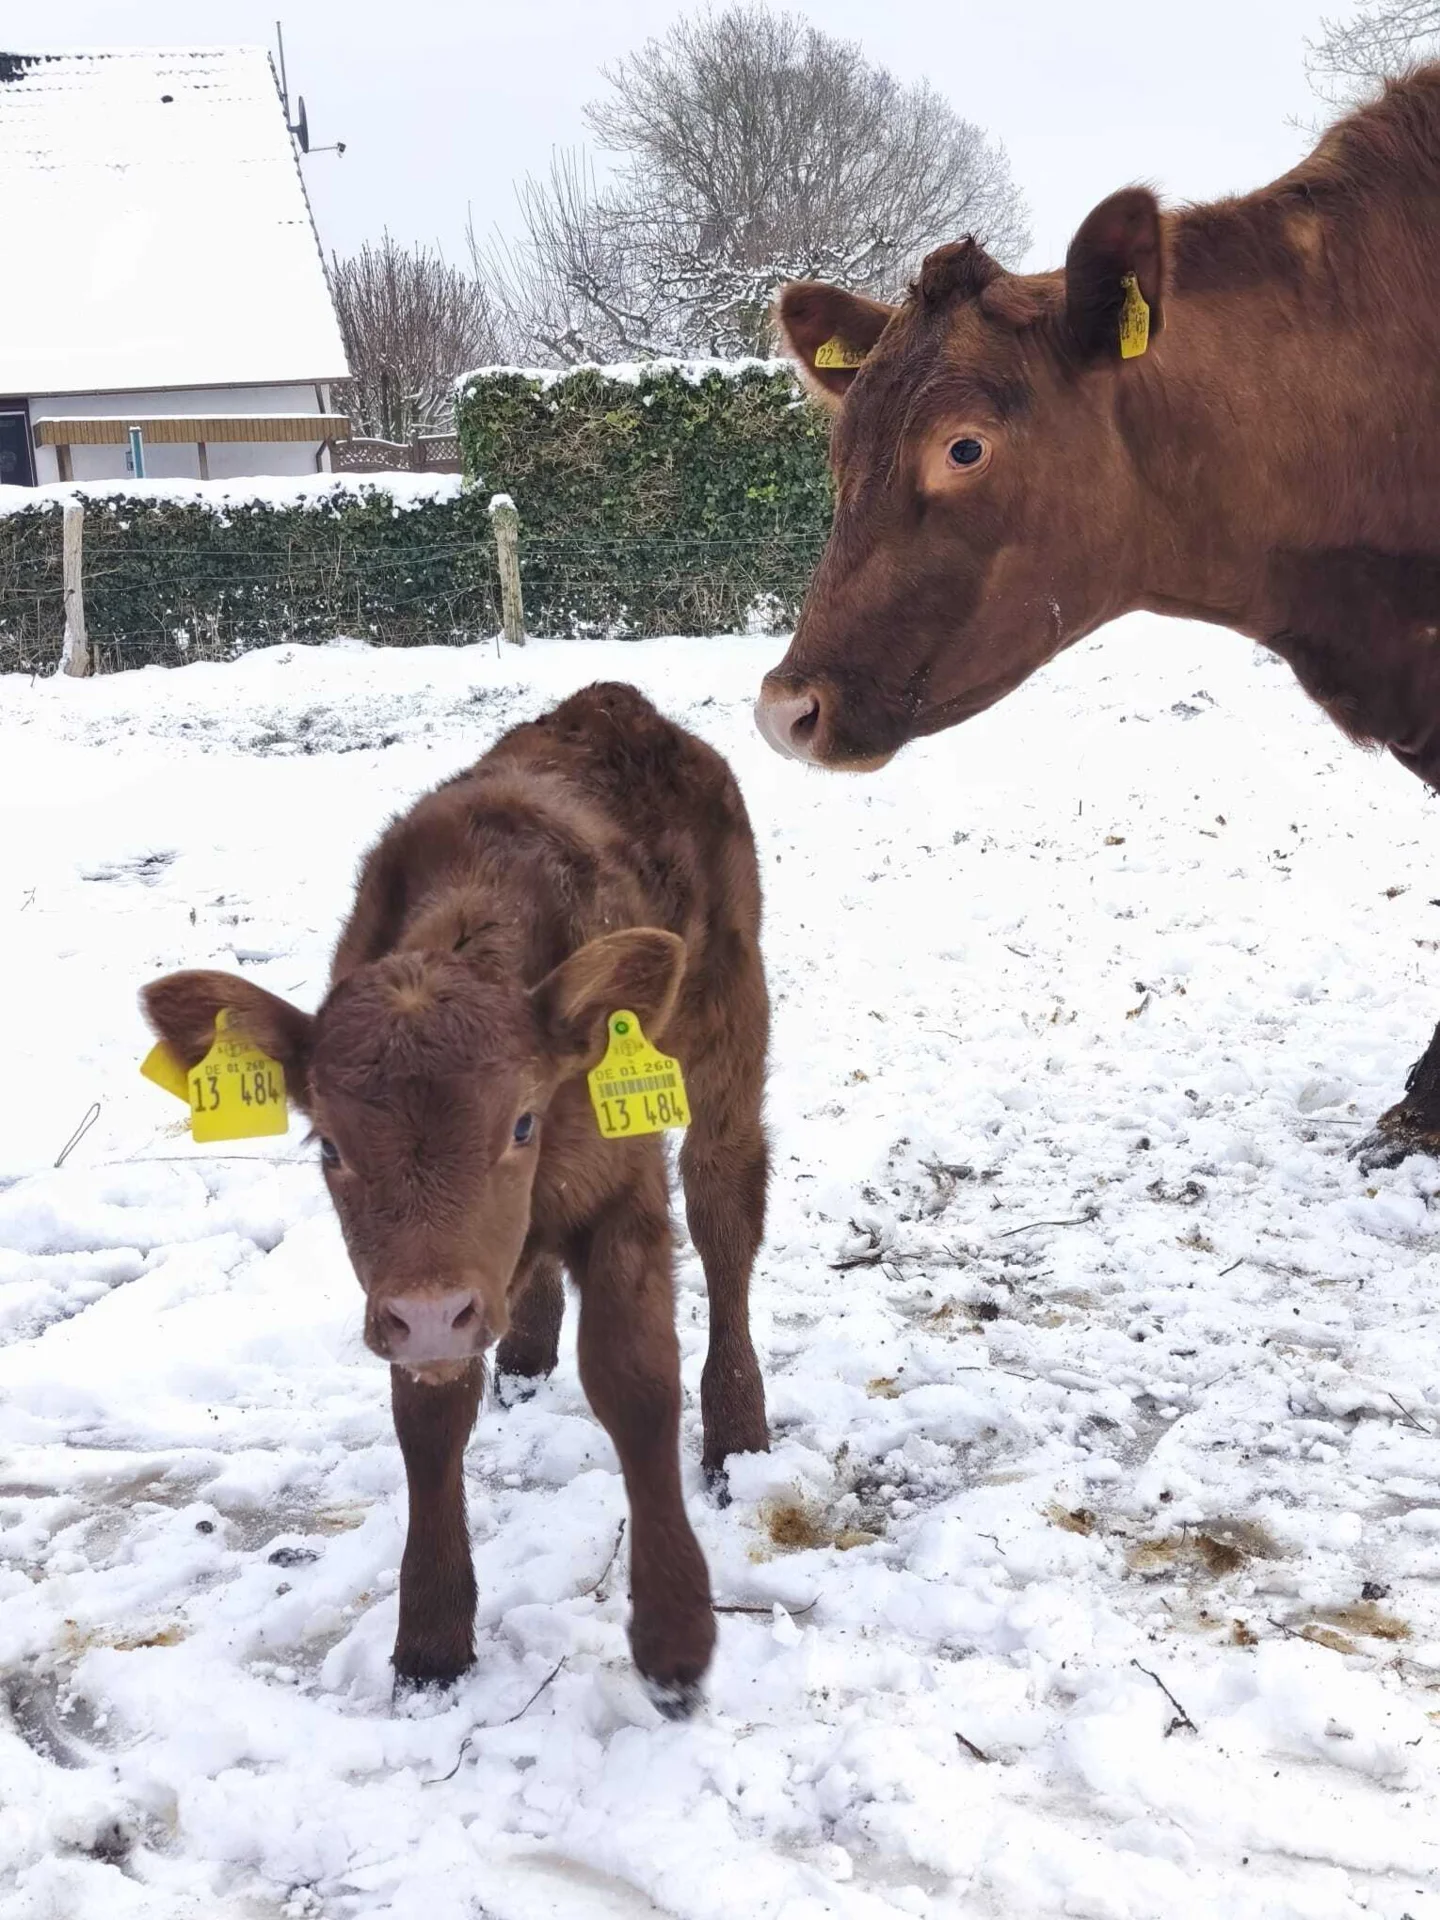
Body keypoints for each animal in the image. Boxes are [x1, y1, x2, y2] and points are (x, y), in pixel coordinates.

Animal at [140, 683, 770, 1716]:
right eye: (329, 1146)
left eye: (521, 1122)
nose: (439, 1316)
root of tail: (617, 702)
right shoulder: (405, 1290)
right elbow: (428, 1424)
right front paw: (432, 1638)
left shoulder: (625, 1189)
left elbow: (635, 1381)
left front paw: (675, 1635)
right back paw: (524, 1349)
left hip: (727, 1022)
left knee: (727, 1207)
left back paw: (740, 1432)